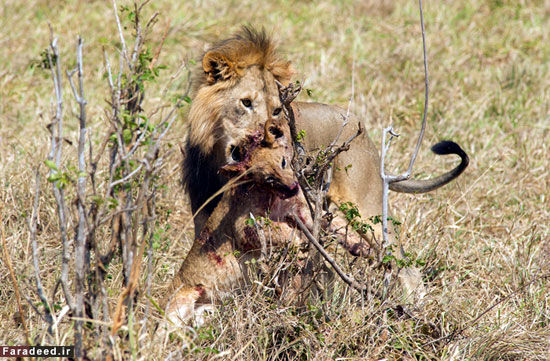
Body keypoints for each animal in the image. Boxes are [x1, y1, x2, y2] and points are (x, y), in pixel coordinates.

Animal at [183, 26, 468, 248]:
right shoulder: (202, 210)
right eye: (245, 102)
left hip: (365, 207)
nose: (263, 136)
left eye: (276, 110)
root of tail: (363, 132)